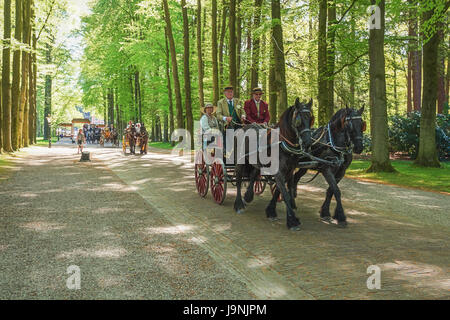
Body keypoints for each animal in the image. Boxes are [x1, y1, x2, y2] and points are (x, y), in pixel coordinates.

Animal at [232, 97, 312, 230]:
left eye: (311, 118)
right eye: (298, 120)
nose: (308, 142)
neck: (282, 143)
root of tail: (243, 127)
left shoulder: (289, 171)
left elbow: (280, 191)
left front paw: (271, 211)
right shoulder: (279, 172)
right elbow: (285, 193)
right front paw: (292, 221)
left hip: (256, 162)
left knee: (253, 175)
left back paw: (248, 196)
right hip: (240, 161)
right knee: (238, 180)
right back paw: (238, 204)